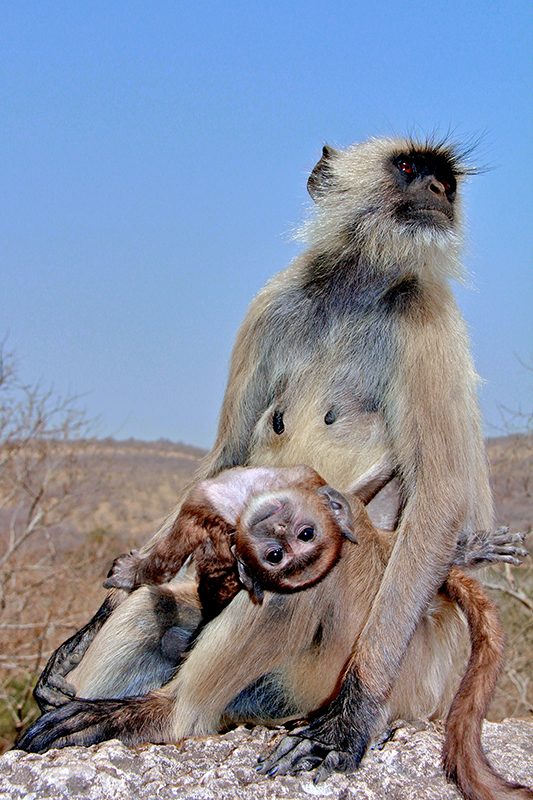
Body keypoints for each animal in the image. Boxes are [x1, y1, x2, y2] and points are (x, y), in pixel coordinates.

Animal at [104, 465, 357, 619]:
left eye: (274, 556)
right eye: (307, 534)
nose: (278, 527)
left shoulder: (202, 509)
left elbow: (164, 564)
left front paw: (129, 572)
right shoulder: (304, 474)